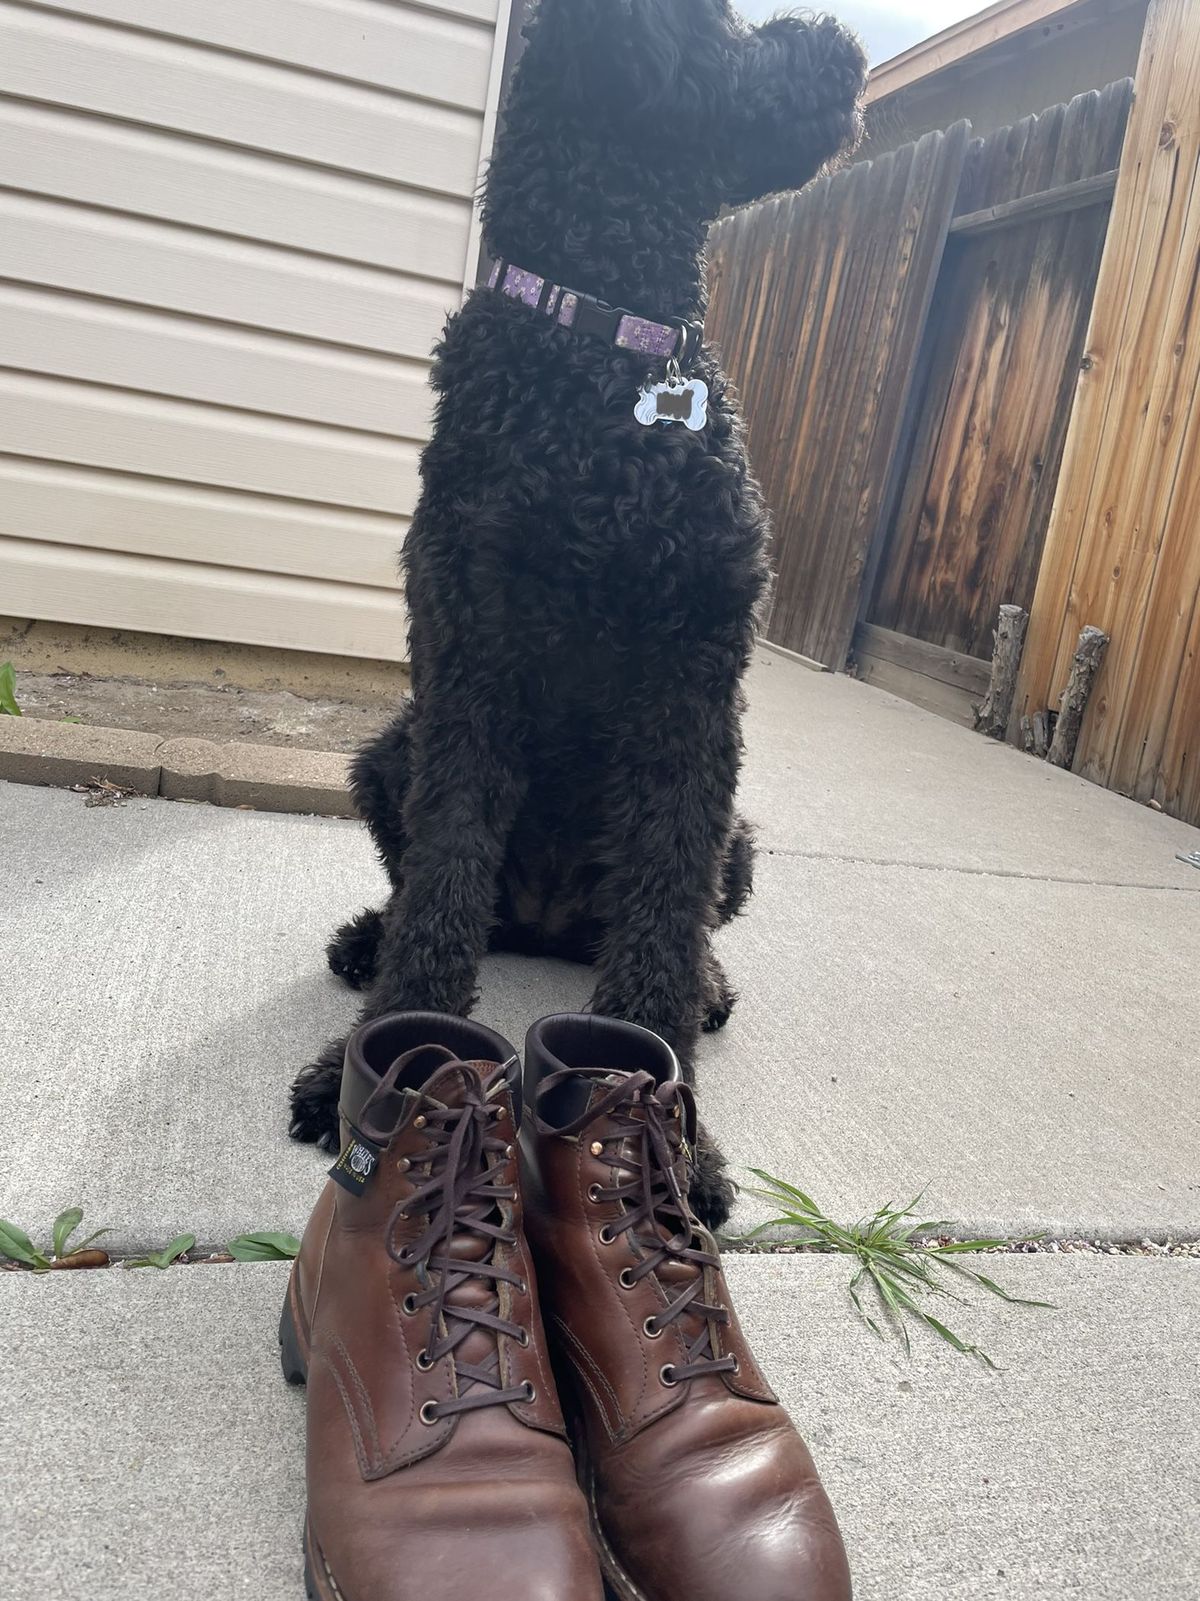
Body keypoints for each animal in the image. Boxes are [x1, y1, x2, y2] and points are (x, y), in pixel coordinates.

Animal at [289, 0, 864, 1223]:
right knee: (432, 889)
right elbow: (442, 886)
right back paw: (370, 938)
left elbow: (661, 921)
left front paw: (674, 1139)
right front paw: (366, 1063)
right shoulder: (470, 670)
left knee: (672, 921)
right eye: (728, 26)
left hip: (735, 833)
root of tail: (549, 919)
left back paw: (708, 982)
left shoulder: (694, 694)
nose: (844, 48)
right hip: (391, 748)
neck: (601, 360)